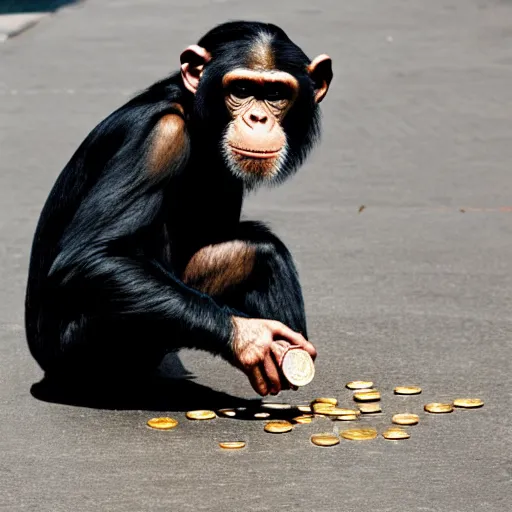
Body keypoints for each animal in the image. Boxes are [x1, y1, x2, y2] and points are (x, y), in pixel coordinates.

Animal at [25, 20, 332, 396]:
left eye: (275, 94)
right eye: (242, 88)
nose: (258, 118)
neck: (195, 116)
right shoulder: (157, 139)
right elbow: (91, 256)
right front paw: (250, 339)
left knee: (258, 251)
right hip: (82, 352)